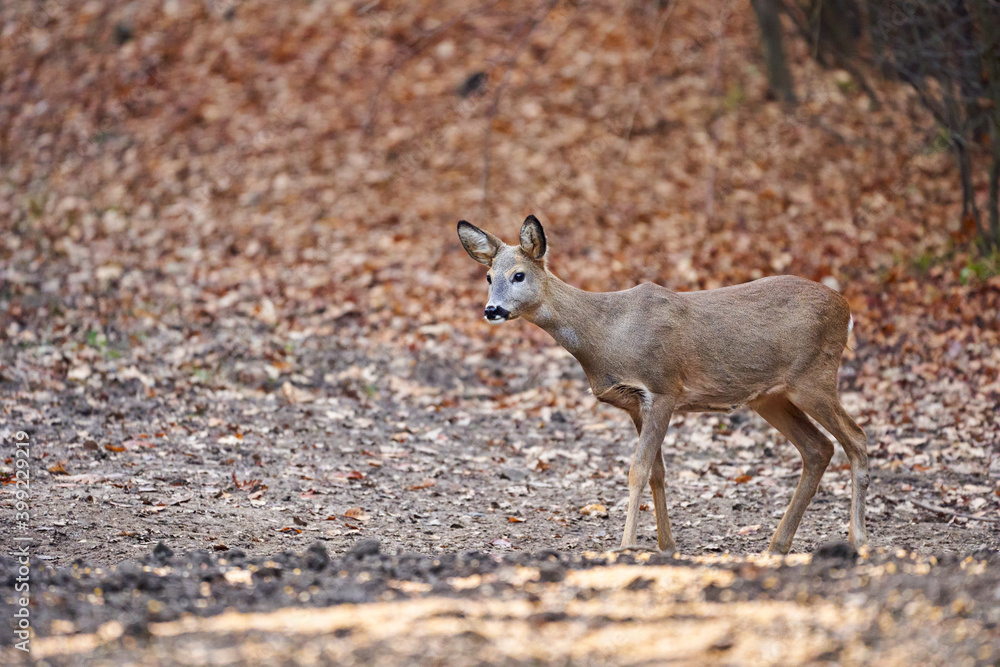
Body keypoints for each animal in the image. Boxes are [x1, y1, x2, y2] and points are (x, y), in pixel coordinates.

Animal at [457, 215, 869, 554]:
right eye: (489, 277)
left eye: (519, 275)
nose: (492, 310)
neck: (605, 335)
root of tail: (847, 309)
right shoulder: (634, 402)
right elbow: (656, 472)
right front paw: (666, 545)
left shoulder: (663, 388)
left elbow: (637, 470)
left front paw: (626, 546)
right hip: (771, 397)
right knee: (818, 448)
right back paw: (778, 544)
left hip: (814, 377)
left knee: (856, 437)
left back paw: (857, 539)